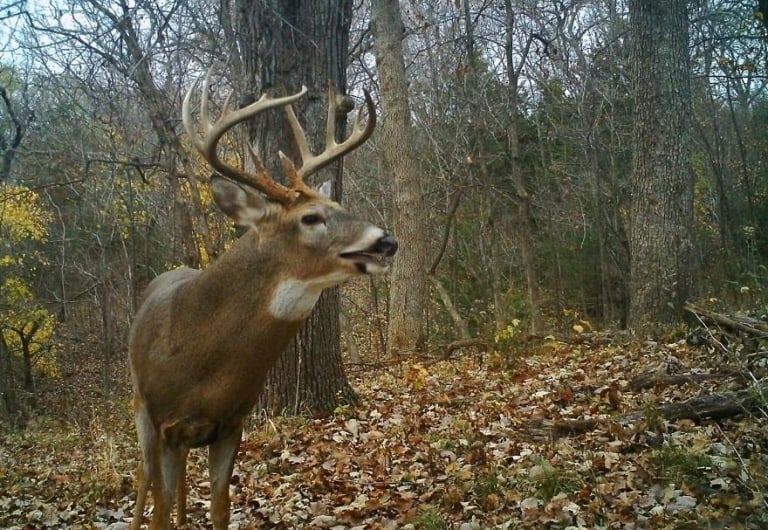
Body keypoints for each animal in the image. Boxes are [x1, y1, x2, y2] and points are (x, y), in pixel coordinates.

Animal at [127, 71, 397, 530]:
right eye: (310, 218)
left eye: (338, 204)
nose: (386, 241)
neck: (199, 363)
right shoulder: (160, 419)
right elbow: (158, 511)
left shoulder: (232, 423)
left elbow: (220, 509)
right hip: (141, 410)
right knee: (145, 479)